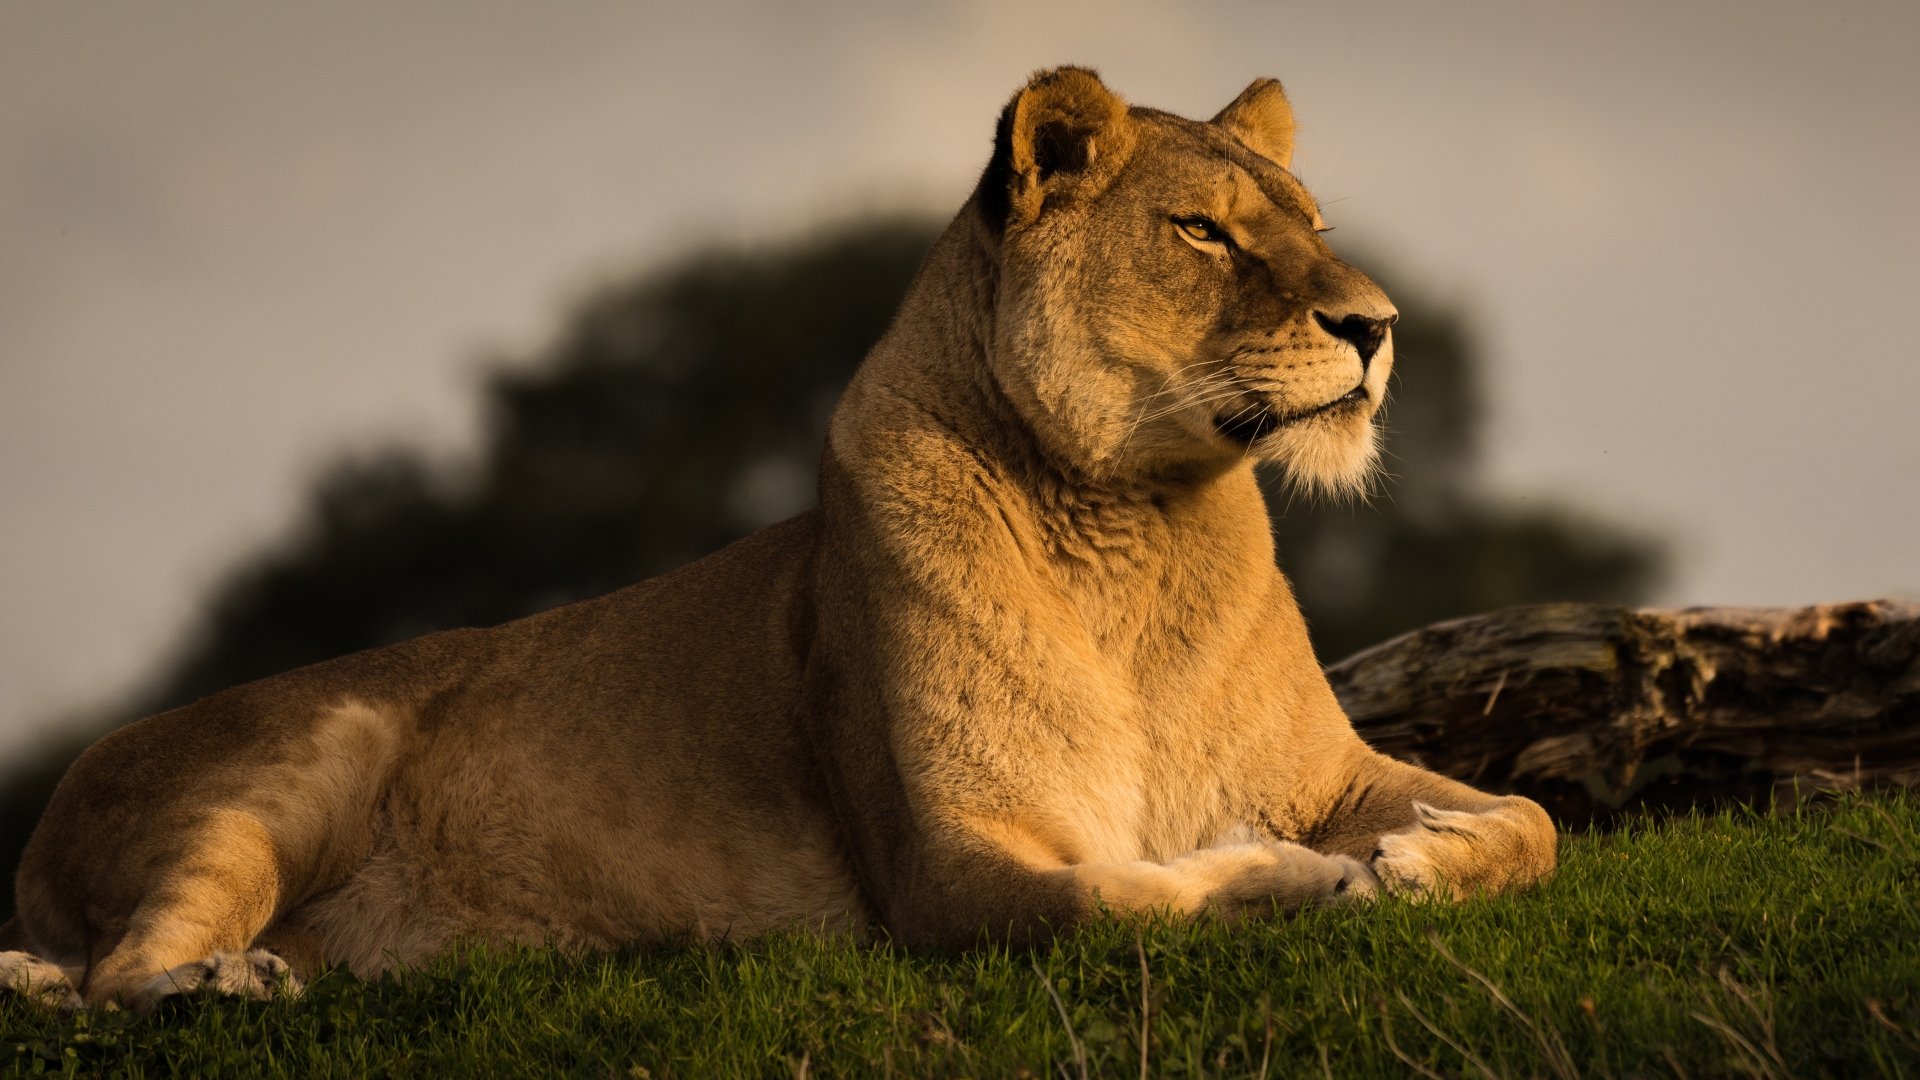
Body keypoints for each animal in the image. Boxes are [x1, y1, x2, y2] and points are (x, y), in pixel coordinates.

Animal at [0, 68, 1555, 1012]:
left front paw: (1420, 857)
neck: (1137, 523)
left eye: (1311, 224)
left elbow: (1531, 825)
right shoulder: (944, 863)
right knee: (107, 982)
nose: (1380, 328)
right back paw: (214, 986)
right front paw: (1303, 878)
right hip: (296, 757)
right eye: (1205, 235)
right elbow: (1125, 903)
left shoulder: (1327, 770)